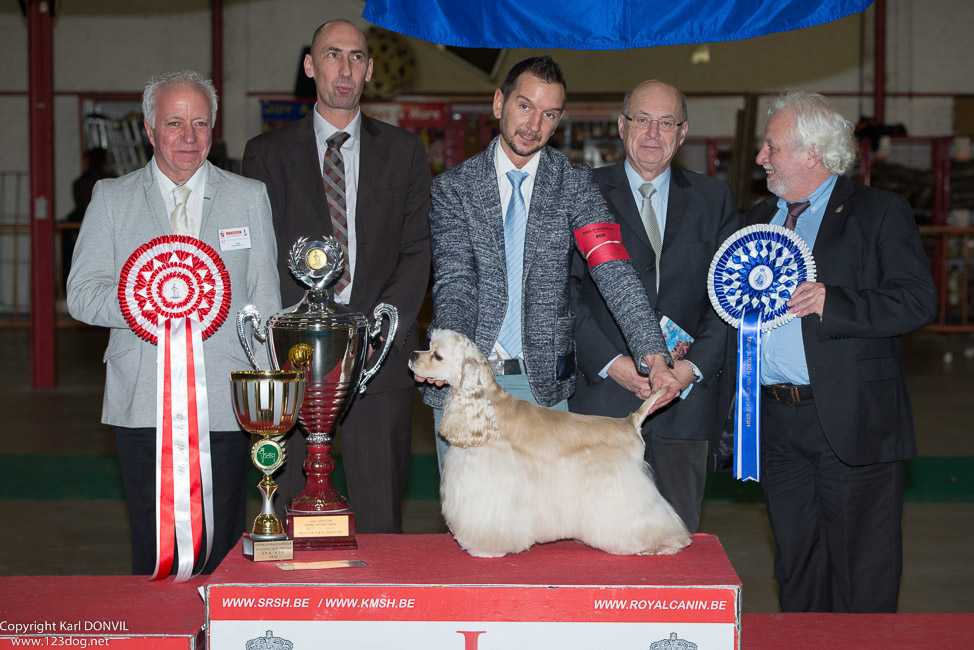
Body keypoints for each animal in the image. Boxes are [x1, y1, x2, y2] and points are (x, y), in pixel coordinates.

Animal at [412, 330, 692, 556]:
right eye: (429, 347)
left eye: (437, 355)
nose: (413, 355)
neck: (487, 409)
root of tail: (630, 422)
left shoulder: (492, 483)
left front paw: (485, 548)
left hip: (626, 487)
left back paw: (666, 544)